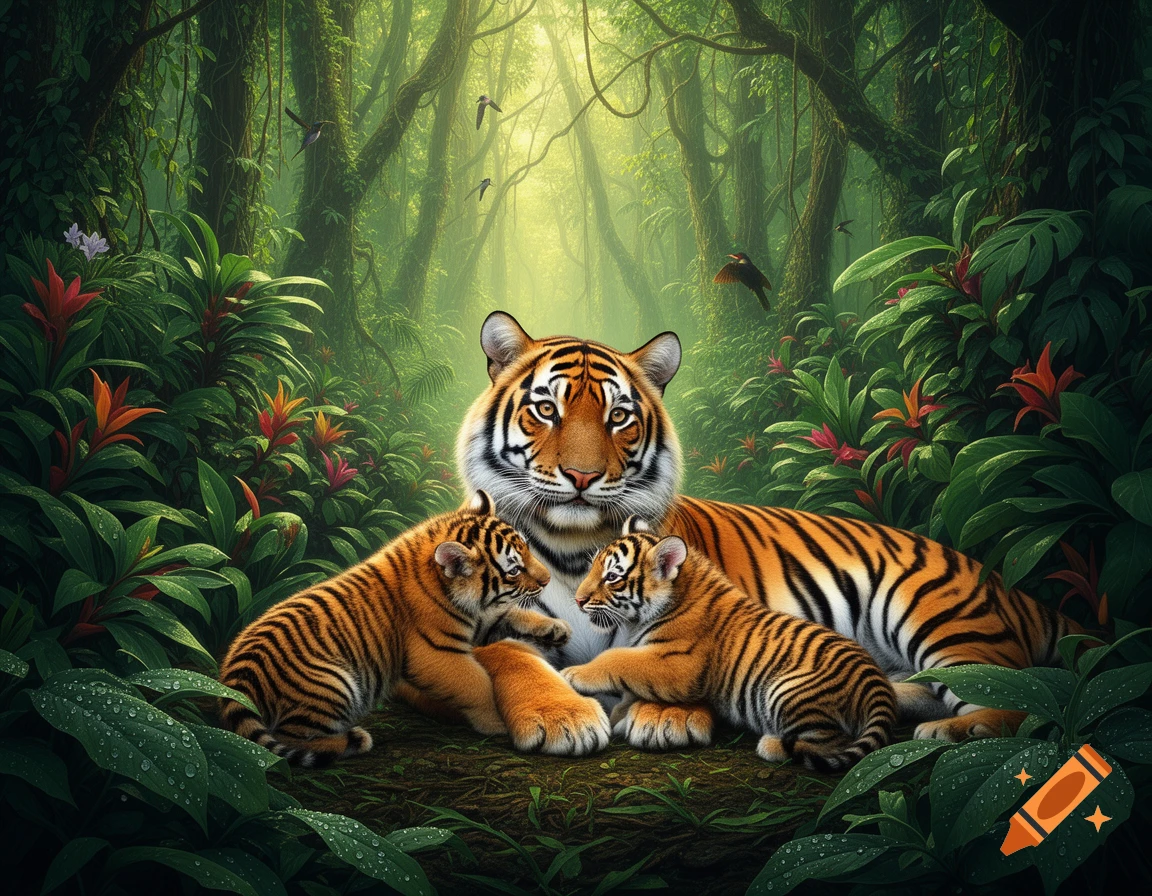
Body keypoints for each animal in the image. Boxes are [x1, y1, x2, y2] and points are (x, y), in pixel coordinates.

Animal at [217, 491, 594, 767]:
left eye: (528, 550)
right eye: (514, 570)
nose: (546, 580)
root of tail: (233, 677)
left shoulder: (477, 627)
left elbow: (509, 614)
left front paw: (555, 628)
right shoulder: (436, 654)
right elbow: (477, 685)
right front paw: (495, 724)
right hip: (332, 683)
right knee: (290, 736)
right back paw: (354, 740)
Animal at [452, 311, 1085, 753]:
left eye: (619, 417)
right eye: (547, 411)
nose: (582, 477)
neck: (575, 548)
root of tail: (999, 578)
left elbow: (655, 665)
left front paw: (664, 717)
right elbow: (508, 655)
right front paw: (560, 718)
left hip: (935, 613)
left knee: (1014, 694)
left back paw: (960, 731)